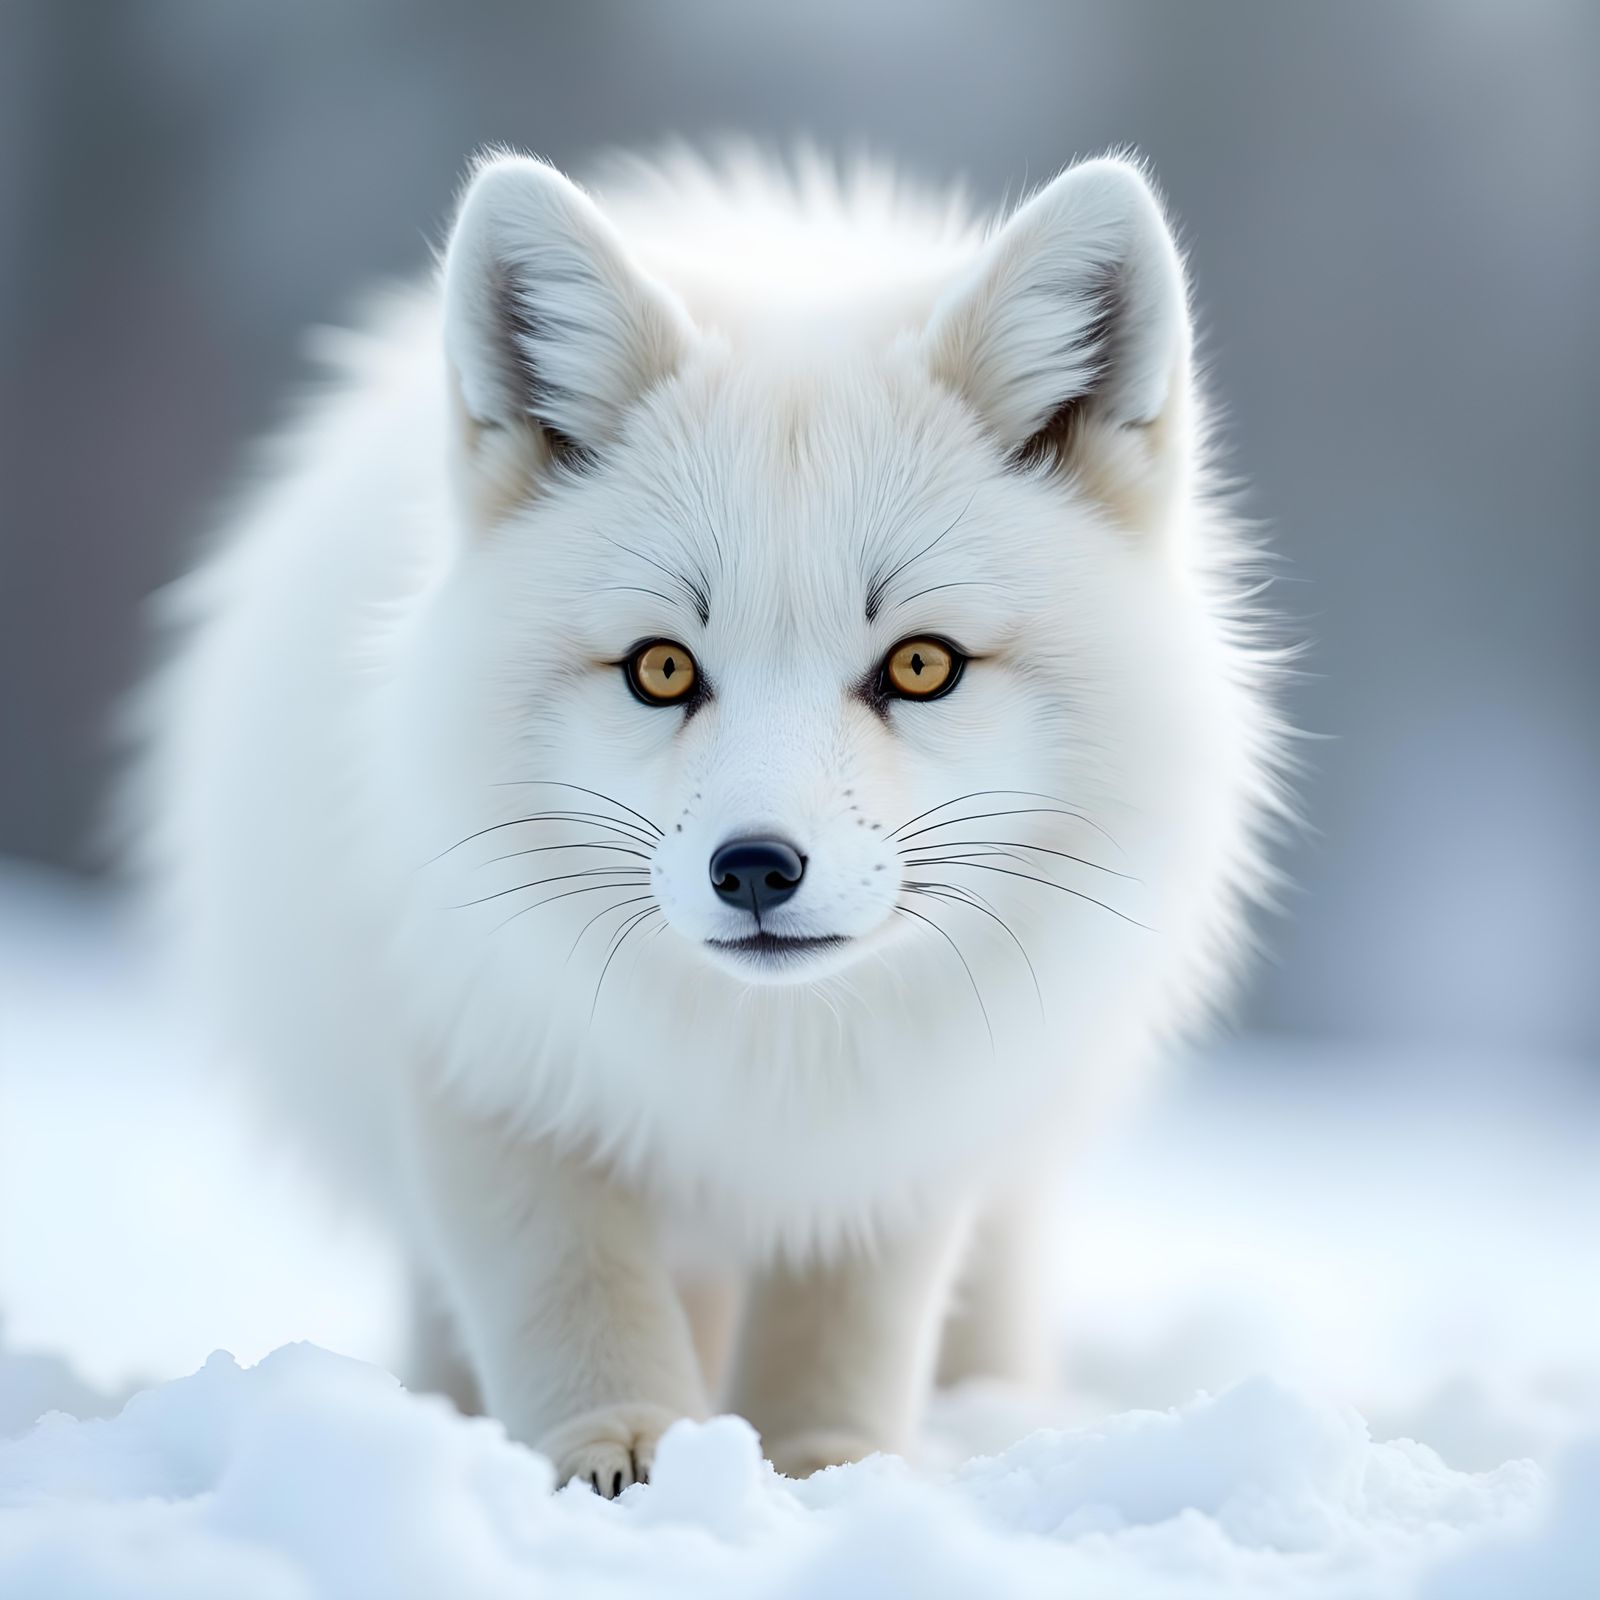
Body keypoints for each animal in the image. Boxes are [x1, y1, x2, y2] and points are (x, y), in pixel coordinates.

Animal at [124, 145, 1286, 1493]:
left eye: (923, 666)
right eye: (662, 669)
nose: (755, 868)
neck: (765, 1061)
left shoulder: (905, 1136)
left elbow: (844, 1331)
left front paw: (832, 1471)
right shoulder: (484, 1055)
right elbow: (571, 1288)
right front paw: (627, 1450)